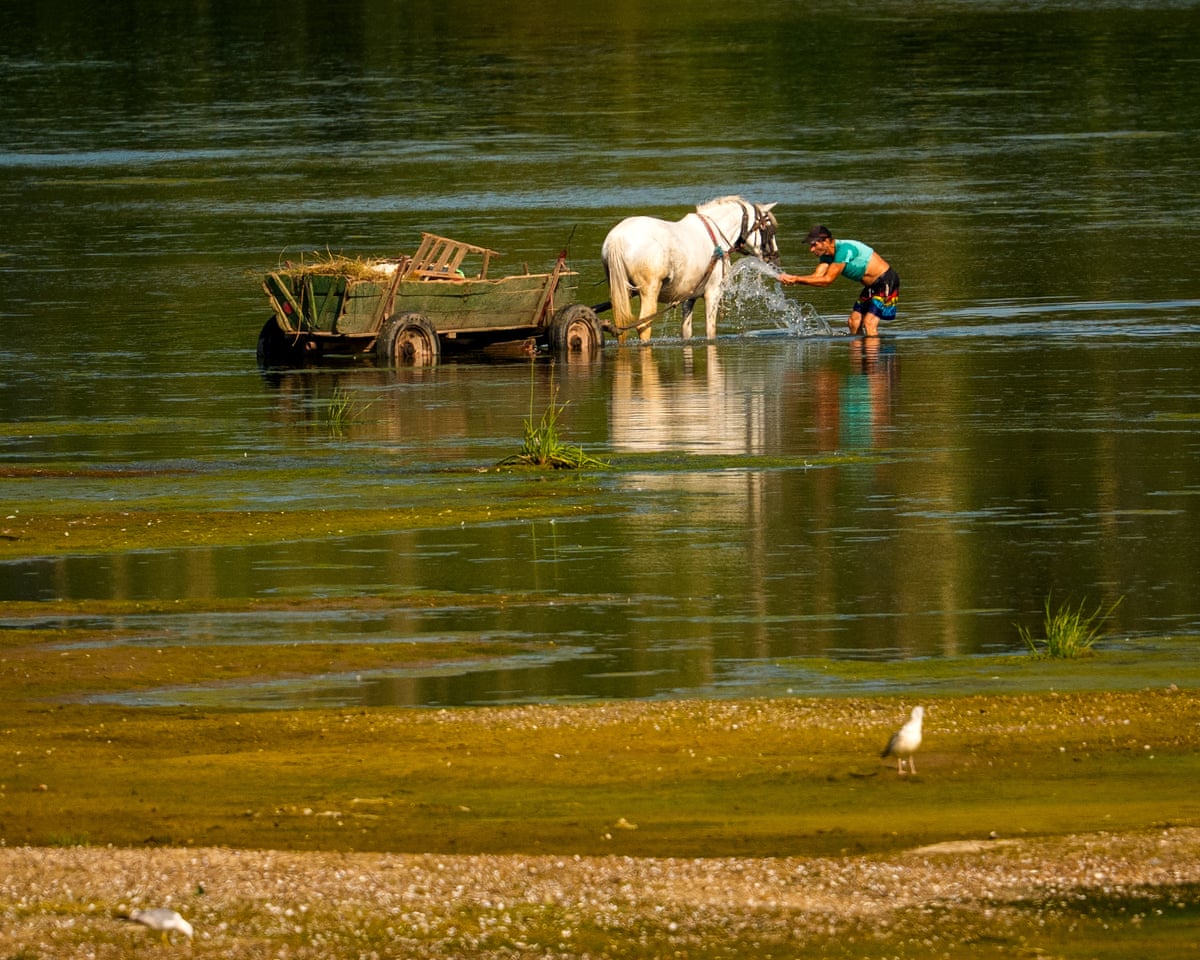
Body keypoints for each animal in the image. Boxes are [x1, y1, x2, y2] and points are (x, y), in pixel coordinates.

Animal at [600, 196, 779, 342]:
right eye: (769, 228)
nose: (774, 256)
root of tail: (617, 238)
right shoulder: (713, 292)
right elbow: (710, 331)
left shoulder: (687, 297)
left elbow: (686, 332)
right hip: (649, 290)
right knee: (643, 326)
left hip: (620, 292)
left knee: (621, 328)